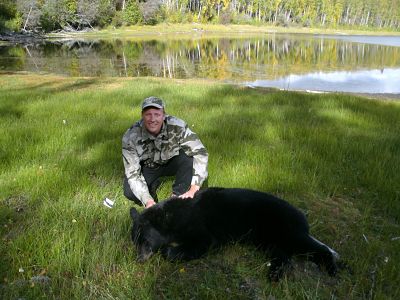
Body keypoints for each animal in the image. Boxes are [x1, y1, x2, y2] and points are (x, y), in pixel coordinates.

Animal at [130, 186, 340, 280]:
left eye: (145, 241)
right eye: (135, 242)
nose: (138, 260)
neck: (172, 218)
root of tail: (301, 215)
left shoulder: (201, 230)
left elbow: (201, 243)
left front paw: (168, 251)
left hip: (285, 229)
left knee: (314, 247)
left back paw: (332, 269)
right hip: (266, 239)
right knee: (282, 256)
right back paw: (274, 274)